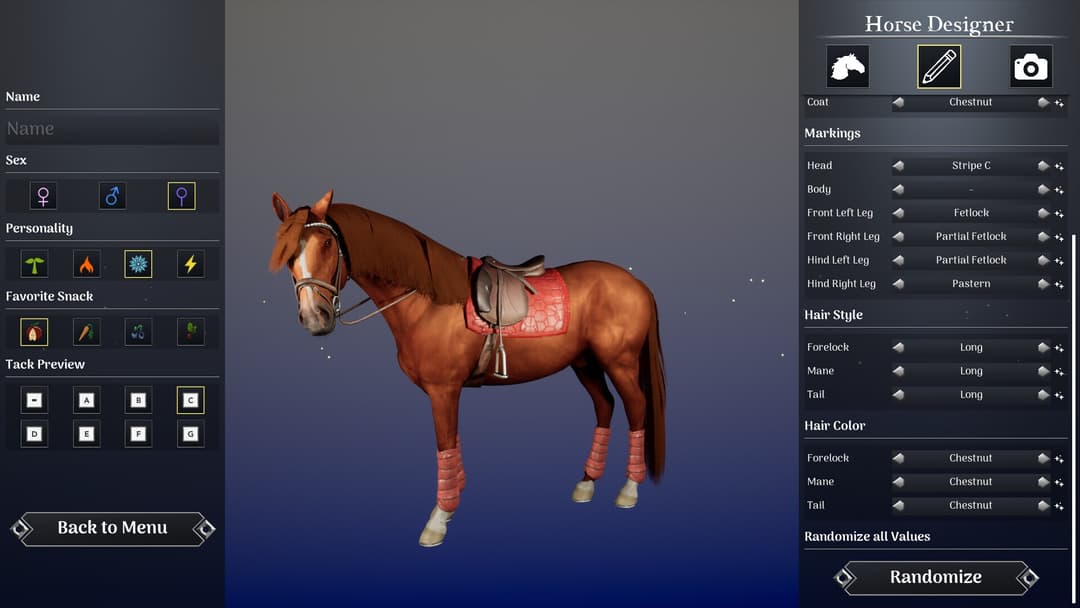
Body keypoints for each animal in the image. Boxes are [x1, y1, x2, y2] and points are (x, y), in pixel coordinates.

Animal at [269, 190, 665, 547]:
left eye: (326, 244)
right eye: (286, 253)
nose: (315, 317)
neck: (429, 299)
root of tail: (637, 284)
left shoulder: (443, 391)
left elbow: (444, 445)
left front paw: (438, 520)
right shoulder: (449, 392)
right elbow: (453, 444)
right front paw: (452, 502)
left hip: (620, 363)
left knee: (636, 408)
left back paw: (629, 490)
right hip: (584, 363)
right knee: (605, 406)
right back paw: (586, 482)